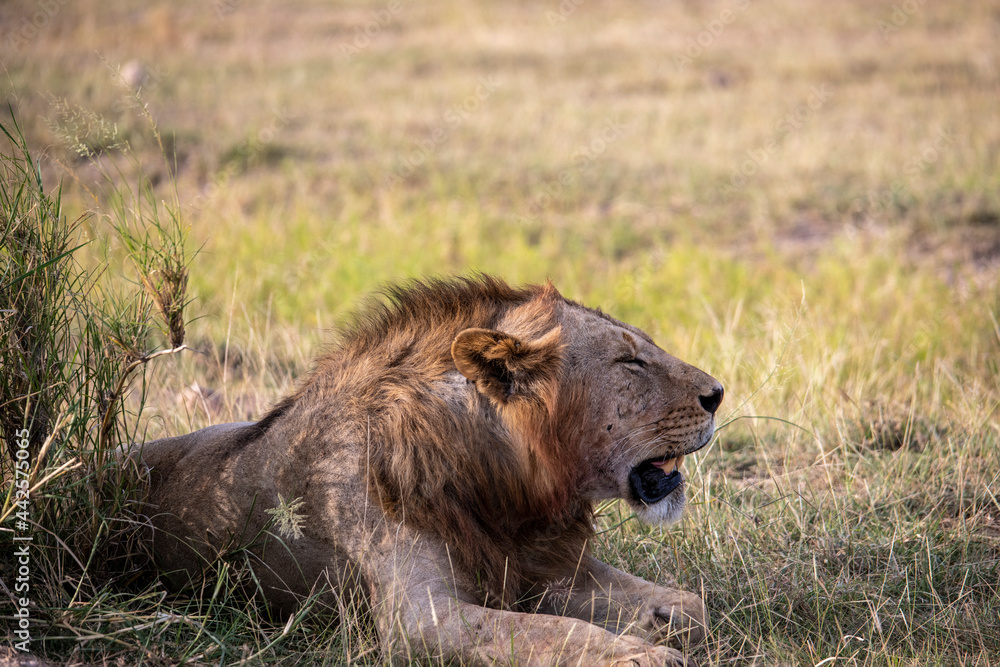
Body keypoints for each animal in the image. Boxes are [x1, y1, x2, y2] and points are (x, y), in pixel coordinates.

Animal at [136, 276, 723, 666]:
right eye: (631, 363)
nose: (718, 394)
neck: (505, 486)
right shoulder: (418, 618)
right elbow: (552, 633)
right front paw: (641, 654)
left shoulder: (543, 565)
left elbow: (691, 605)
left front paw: (659, 628)